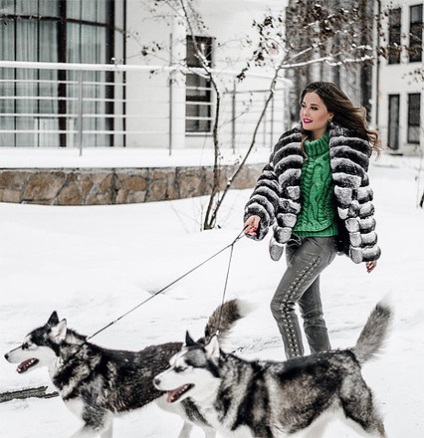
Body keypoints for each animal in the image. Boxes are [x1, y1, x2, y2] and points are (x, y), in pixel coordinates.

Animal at [4, 300, 245, 436]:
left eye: (27, 345)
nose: (5, 355)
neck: (74, 361)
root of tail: (197, 346)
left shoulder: (96, 421)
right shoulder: (104, 422)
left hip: (183, 405)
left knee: (208, 427)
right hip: (168, 403)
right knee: (191, 423)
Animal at [154, 300, 392, 436]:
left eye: (182, 368)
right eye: (171, 364)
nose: (155, 380)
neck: (229, 390)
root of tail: (347, 353)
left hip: (362, 421)